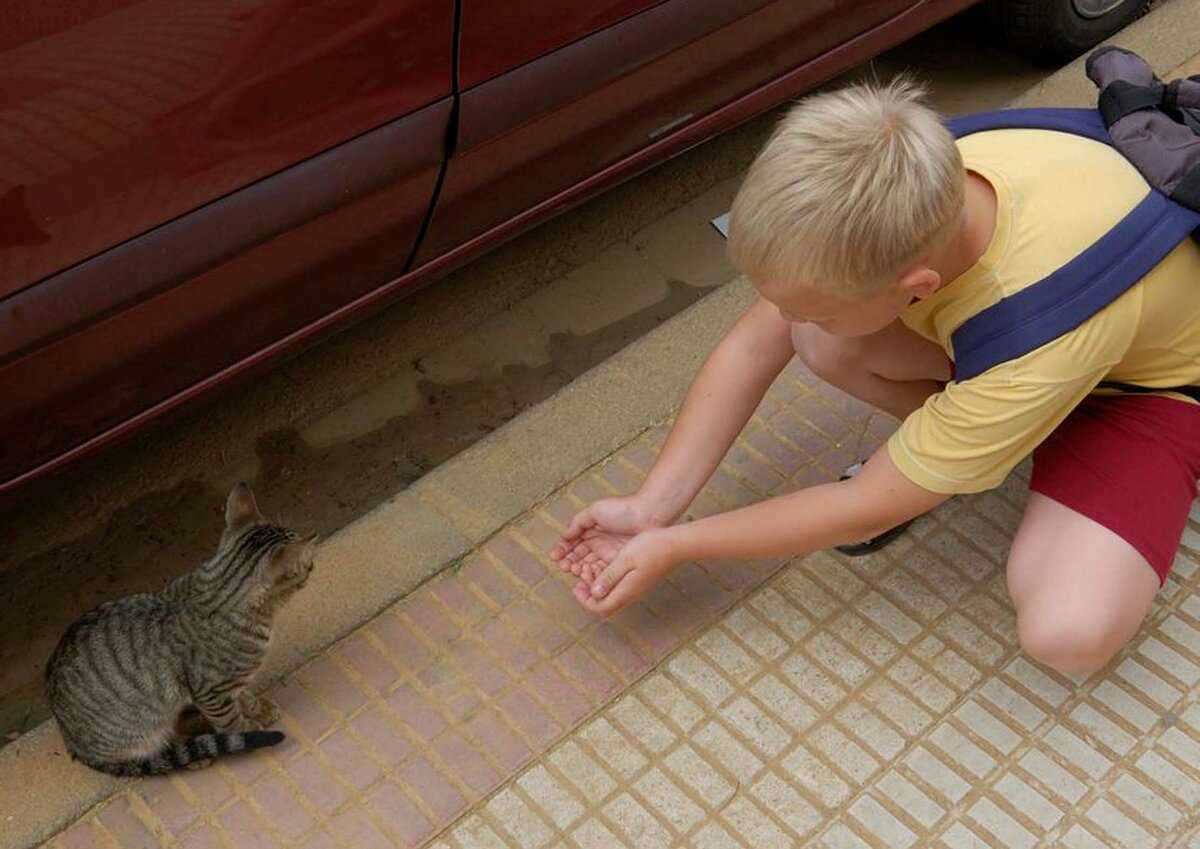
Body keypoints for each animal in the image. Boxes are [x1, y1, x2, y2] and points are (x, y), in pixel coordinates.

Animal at [44, 484, 316, 777]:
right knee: (158, 753)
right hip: (143, 728)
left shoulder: (234, 682)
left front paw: (258, 710)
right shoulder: (211, 692)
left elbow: (244, 696)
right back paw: (194, 754)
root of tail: (73, 744)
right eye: (307, 565)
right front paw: (247, 732)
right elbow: (232, 722)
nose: (314, 565)